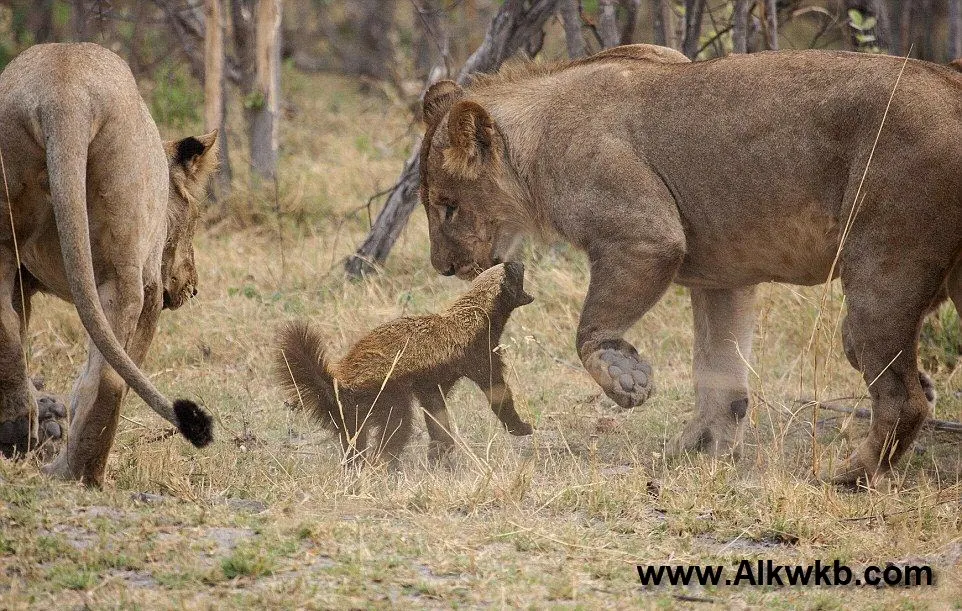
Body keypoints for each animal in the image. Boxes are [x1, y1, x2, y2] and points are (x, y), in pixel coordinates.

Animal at [0, 43, 214, 486]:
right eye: (195, 217)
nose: (193, 287)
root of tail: (63, 93)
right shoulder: (152, 287)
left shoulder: (23, 281)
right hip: (124, 266)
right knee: (110, 377)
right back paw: (79, 473)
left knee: (7, 328)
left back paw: (17, 436)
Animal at [276, 262, 532, 468]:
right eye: (514, 271)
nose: (520, 261)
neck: (477, 313)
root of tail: (338, 382)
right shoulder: (479, 353)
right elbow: (497, 392)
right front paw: (521, 427)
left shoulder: (431, 384)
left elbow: (436, 413)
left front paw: (440, 453)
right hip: (386, 396)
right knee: (396, 428)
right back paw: (383, 466)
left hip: (351, 416)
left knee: (353, 442)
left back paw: (355, 467)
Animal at [416, 44, 960, 488]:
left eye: (447, 206)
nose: (443, 267)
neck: (532, 145)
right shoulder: (723, 277)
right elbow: (718, 374)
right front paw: (695, 451)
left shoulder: (645, 236)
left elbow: (590, 330)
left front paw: (625, 378)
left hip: (883, 268)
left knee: (902, 395)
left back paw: (847, 475)